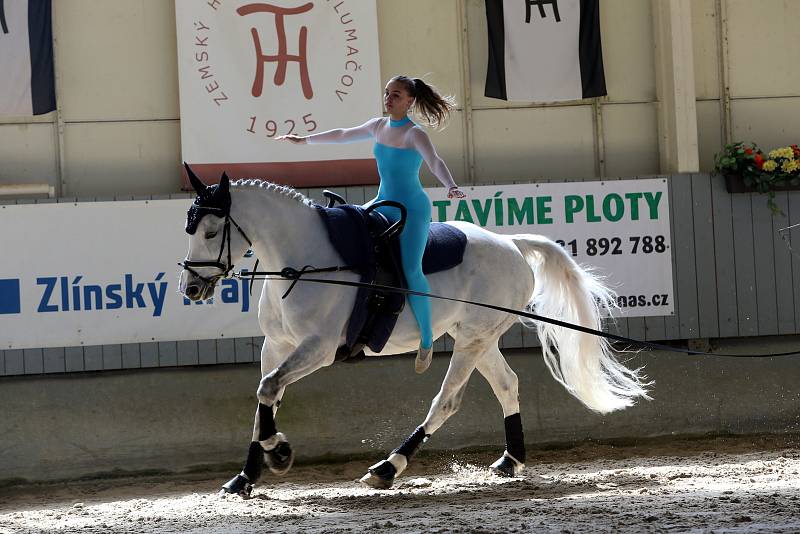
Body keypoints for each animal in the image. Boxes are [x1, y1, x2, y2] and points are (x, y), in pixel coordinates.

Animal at [178, 169, 648, 498]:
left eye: (212, 231)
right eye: (190, 229)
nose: (191, 288)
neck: (306, 261)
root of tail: (511, 244)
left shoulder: (319, 348)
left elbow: (268, 389)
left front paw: (280, 452)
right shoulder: (276, 346)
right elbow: (265, 398)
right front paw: (245, 477)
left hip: (472, 341)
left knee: (447, 401)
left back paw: (389, 467)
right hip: (477, 338)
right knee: (507, 385)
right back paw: (510, 460)